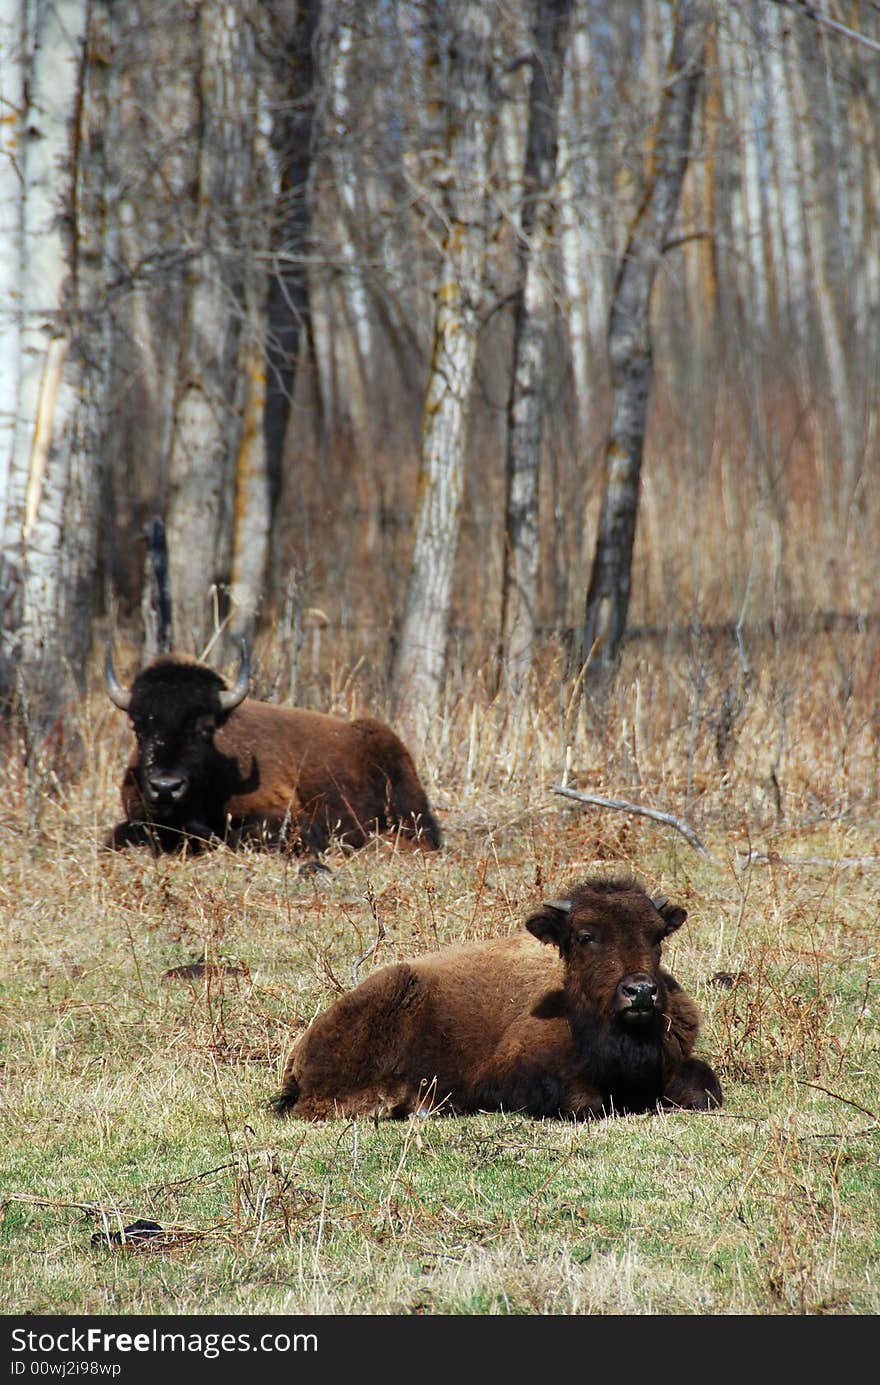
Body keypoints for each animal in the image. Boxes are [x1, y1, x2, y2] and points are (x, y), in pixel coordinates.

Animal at [274, 880, 720, 1119]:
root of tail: (299, 1051)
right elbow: (586, 1103)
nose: (640, 991)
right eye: (585, 936)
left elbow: (704, 1089)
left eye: (657, 936)